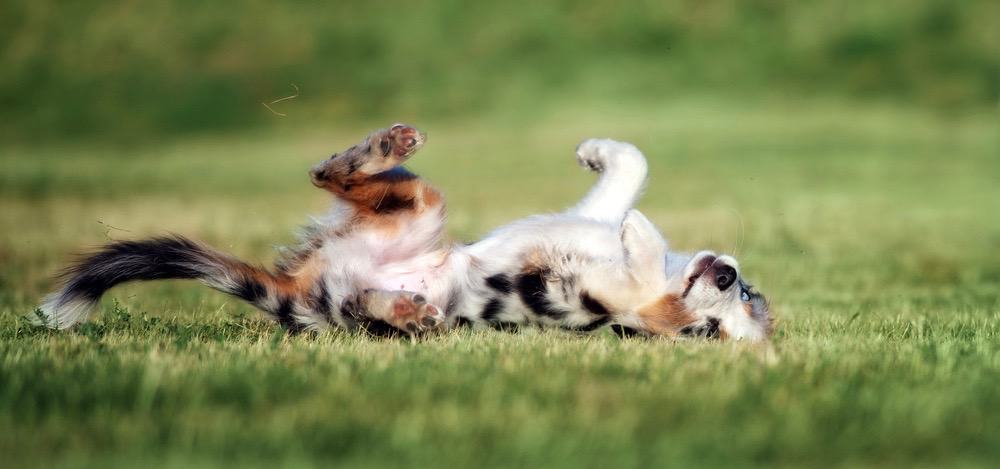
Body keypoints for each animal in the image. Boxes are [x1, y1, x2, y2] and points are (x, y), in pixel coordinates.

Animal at [33, 124, 772, 340]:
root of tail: (307, 295)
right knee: (331, 174)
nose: (726, 274)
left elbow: (640, 288)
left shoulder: (608, 306)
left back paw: (404, 308)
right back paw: (385, 147)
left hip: (393, 248)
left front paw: (641, 244)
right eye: (742, 296)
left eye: (710, 331)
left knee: (363, 300)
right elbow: (629, 172)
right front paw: (599, 155)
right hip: (421, 209)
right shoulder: (595, 216)